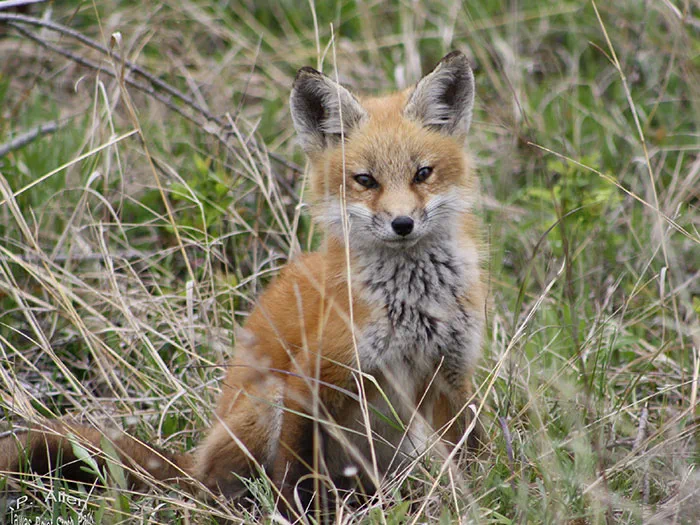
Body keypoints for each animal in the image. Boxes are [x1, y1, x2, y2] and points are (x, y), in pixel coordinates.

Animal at [0, 50, 485, 513]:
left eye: (422, 173)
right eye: (365, 180)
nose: (403, 224)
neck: (413, 304)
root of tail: (193, 463)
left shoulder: (452, 373)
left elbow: (471, 450)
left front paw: (481, 497)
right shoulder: (310, 379)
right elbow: (293, 472)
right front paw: (295, 514)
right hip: (265, 403)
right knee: (227, 486)